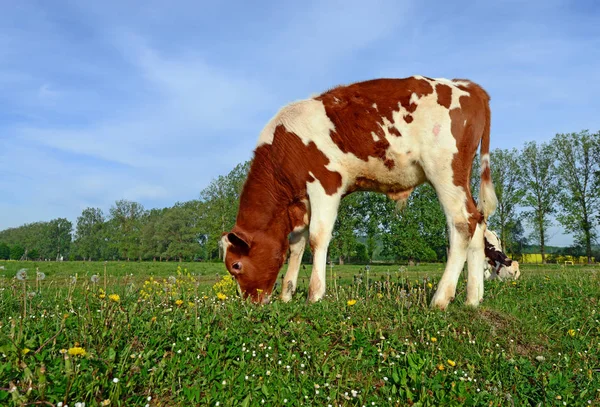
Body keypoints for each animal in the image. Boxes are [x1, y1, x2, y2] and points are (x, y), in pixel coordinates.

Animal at [220, 75, 496, 310]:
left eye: (236, 265)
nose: (251, 302)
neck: (284, 143)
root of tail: (468, 86)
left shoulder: (325, 183)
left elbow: (317, 237)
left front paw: (315, 295)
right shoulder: (299, 202)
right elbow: (296, 244)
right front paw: (287, 295)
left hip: (444, 170)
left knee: (462, 223)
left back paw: (440, 299)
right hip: (462, 175)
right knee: (478, 221)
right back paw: (473, 299)